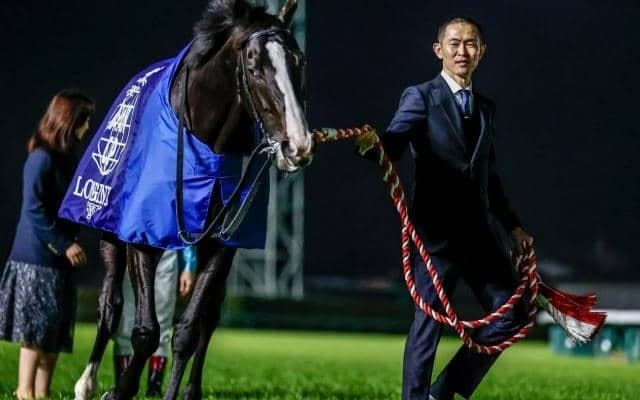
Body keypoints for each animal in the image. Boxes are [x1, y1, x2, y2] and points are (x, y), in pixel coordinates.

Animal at [70, 1, 312, 399]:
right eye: (252, 66)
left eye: (299, 61)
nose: (299, 145)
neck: (206, 142)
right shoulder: (141, 234)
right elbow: (144, 331)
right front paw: (119, 389)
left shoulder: (223, 243)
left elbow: (188, 329)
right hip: (108, 231)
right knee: (110, 306)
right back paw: (86, 382)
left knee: (208, 317)